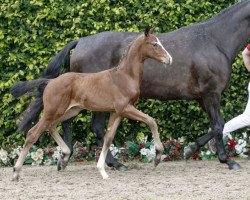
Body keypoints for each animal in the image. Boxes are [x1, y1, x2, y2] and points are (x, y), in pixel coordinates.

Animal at [11, 27, 172, 180]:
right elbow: (151, 121)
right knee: (33, 133)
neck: (124, 76)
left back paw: (65, 154)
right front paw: (158, 156)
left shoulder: (117, 112)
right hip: (53, 111)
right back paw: (16, 172)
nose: (169, 59)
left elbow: (108, 138)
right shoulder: (126, 108)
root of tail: (50, 82)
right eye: (155, 44)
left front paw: (103, 170)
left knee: (51, 126)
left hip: (70, 110)